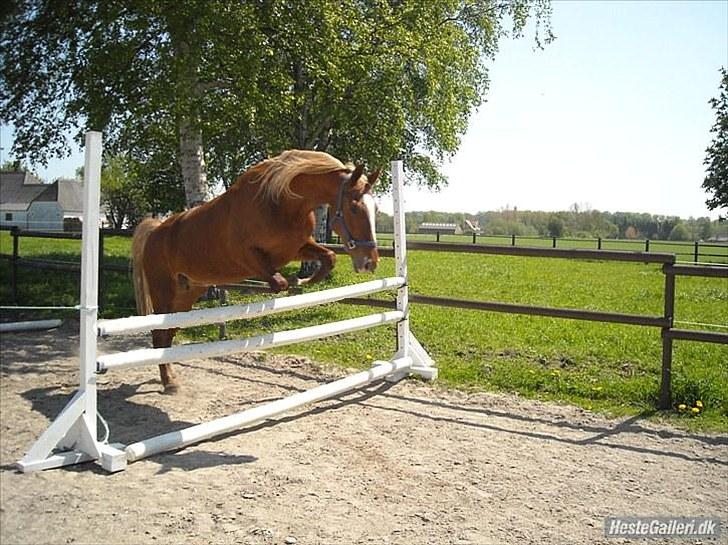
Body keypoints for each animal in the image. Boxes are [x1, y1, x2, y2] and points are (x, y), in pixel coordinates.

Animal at [132, 149, 382, 392]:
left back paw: (170, 378)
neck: (281, 203)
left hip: (186, 294)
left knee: (168, 334)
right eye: (353, 208)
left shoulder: (296, 248)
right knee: (158, 334)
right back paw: (168, 382)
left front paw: (302, 281)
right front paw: (286, 282)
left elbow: (328, 258)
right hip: (164, 293)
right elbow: (277, 281)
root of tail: (155, 231)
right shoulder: (247, 256)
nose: (370, 263)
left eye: (375, 209)